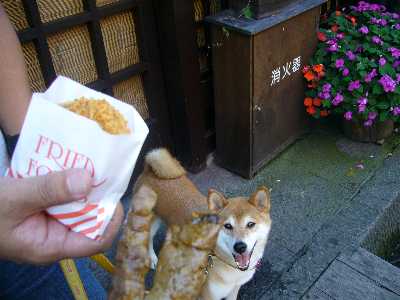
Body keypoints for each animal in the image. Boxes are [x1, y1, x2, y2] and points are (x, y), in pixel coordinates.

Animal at [131, 149, 272, 298]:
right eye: (227, 226)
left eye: (250, 224)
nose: (240, 247)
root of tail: (148, 171)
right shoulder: (208, 295)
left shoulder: (233, 290)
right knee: (148, 238)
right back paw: (152, 258)